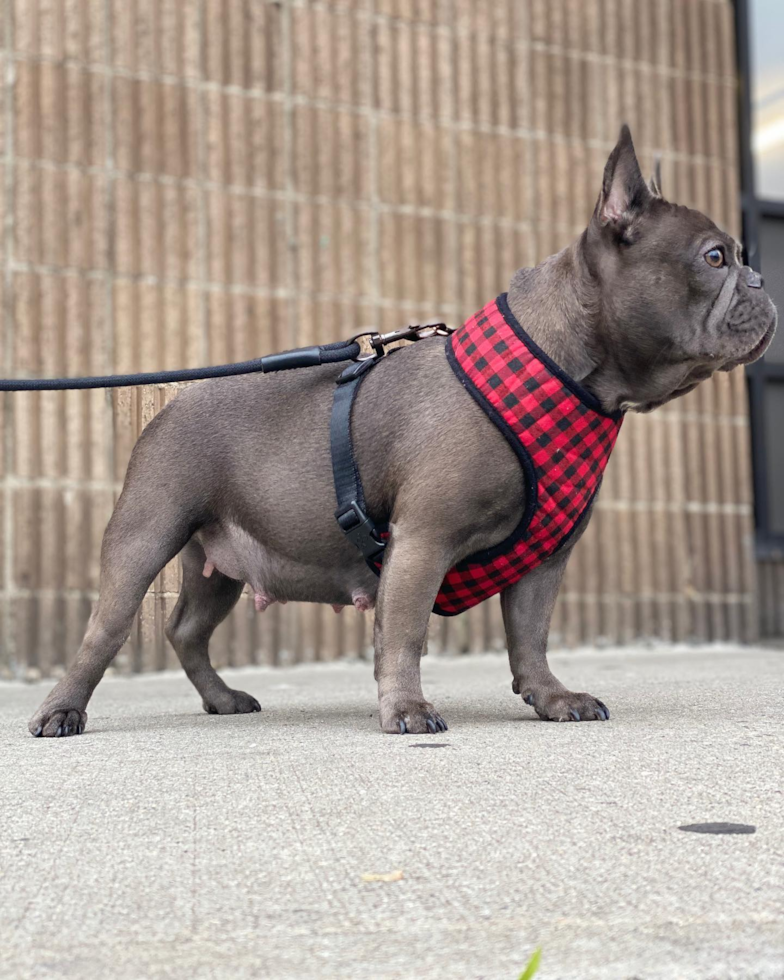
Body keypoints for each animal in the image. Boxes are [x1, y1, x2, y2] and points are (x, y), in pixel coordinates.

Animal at [27, 130, 776, 740]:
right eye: (715, 257)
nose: (762, 279)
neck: (563, 370)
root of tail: (175, 400)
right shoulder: (424, 540)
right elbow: (406, 630)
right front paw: (407, 710)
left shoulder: (543, 561)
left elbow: (531, 635)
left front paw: (551, 698)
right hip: (147, 532)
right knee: (105, 630)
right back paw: (62, 711)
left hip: (220, 562)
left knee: (187, 629)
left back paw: (221, 698)